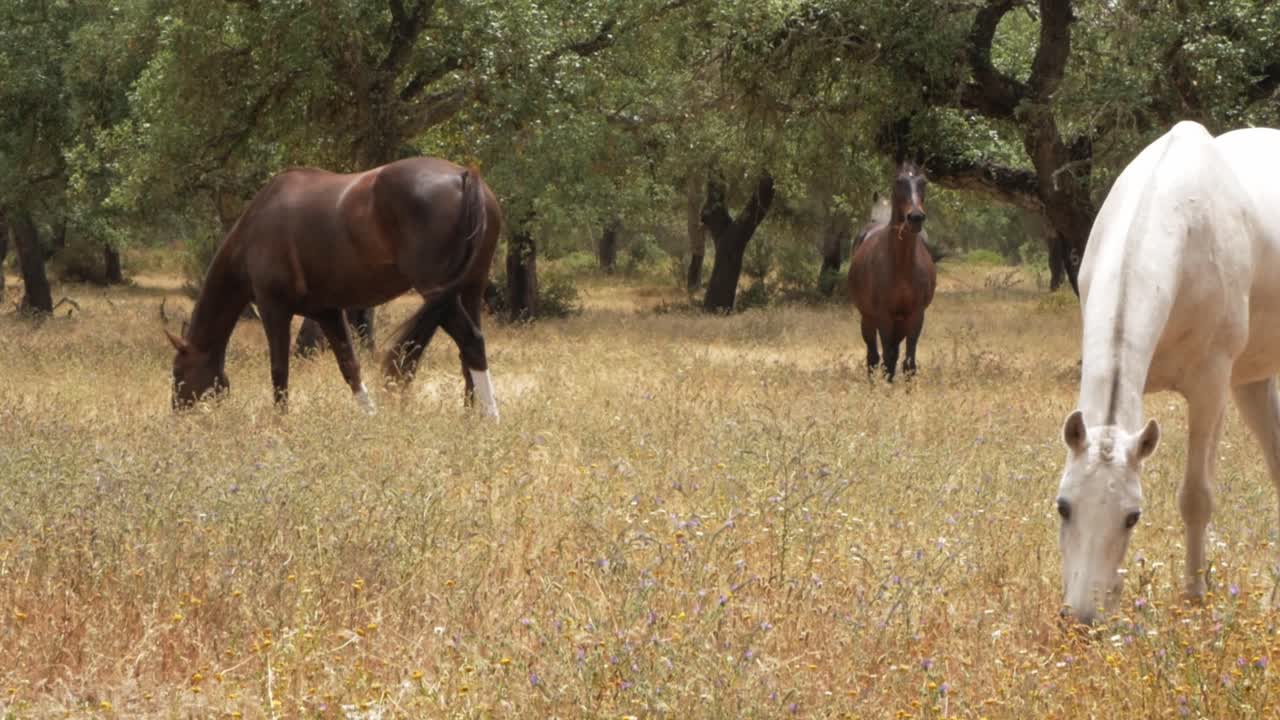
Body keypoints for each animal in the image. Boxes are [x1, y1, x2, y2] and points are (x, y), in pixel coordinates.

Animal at [165, 157, 503, 418]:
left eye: (178, 372)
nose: (178, 413)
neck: (253, 231)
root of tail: (465, 176)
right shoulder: (327, 312)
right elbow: (349, 366)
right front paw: (371, 417)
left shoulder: (274, 310)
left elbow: (279, 371)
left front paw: (280, 423)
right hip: (468, 291)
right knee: (467, 354)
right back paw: (470, 418)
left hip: (439, 293)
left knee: (472, 342)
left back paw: (490, 418)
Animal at [847, 159, 937, 381]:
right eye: (898, 181)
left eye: (923, 182)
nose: (915, 217)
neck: (901, 265)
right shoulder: (883, 315)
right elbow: (886, 359)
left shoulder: (916, 315)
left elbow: (908, 363)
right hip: (868, 319)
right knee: (873, 357)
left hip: (900, 322)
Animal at [1056, 121, 1280, 625]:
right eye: (1063, 507)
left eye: (1131, 516)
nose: (1082, 618)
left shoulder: (1210, 387)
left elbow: (1196, 496)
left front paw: (1195, 596)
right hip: (1252, 383)